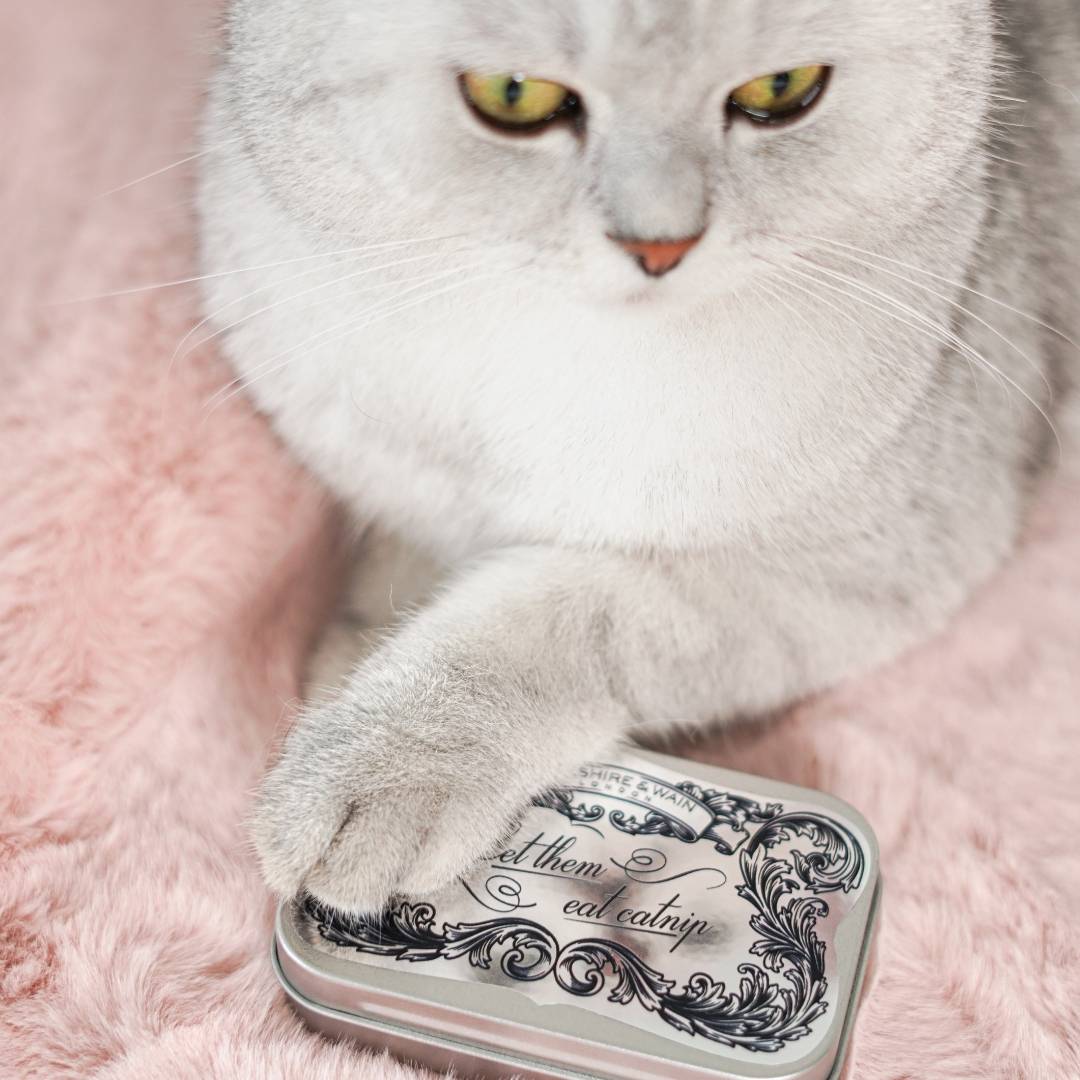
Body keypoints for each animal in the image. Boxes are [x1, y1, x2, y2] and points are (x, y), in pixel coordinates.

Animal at [198, 0, 1075, 915]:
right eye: (513, 95)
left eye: (782, 89)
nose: (661, 247)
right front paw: (352, 646)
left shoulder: (869, 571)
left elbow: (552, 616)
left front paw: (379, 762)